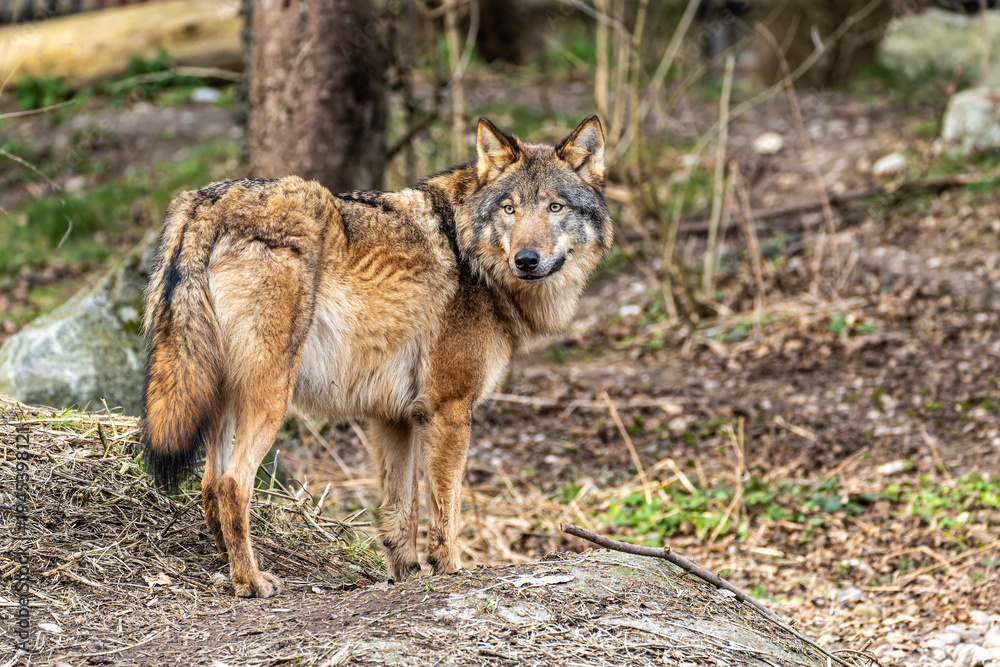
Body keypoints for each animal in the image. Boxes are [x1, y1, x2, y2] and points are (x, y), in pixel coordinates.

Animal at [141, 116, 613, 597]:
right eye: (509, 209)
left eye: (555, 207)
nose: (526, 260)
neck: (472, 257)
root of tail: (202, 203)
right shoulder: (448, 409)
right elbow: (445, 510)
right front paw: (449, 571)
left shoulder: (394, 418)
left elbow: (401, 513)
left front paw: (404, 576)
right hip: (270, 398)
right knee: (234, 484)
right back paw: (251, 581)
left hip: (219, 395)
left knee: (208, 483)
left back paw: (226, 565)